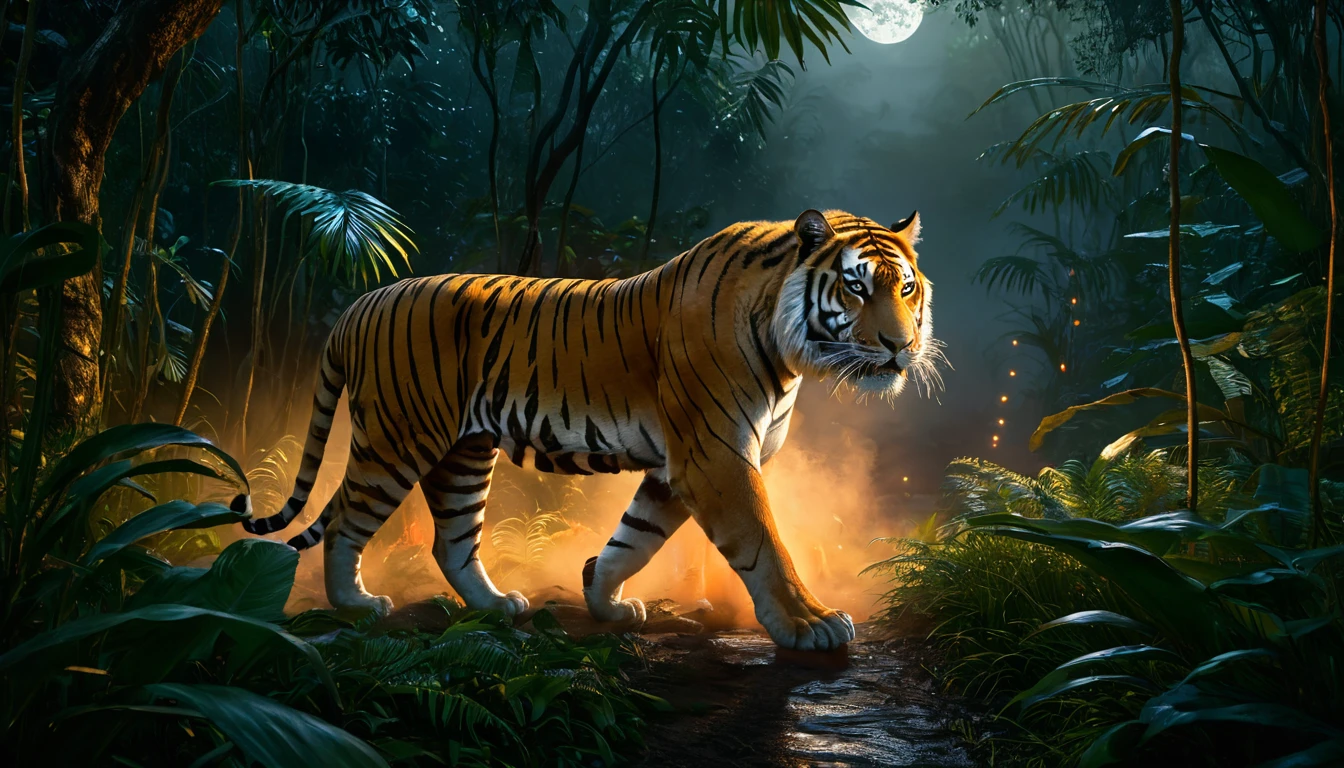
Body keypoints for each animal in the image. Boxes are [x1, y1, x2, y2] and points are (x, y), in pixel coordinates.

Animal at [236, 208, 938, 650]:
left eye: (906, 288)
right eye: (855, 288)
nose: (902, 347)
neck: (787, 348)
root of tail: (361, 302)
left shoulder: (674, 468)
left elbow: (636, 539)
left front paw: (604, 599)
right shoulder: (714, 456)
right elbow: (764, 544)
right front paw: (809, 624)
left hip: (464, 453)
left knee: (451, 541)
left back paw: (497, 606)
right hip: (397, 440)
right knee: (345, 523)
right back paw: (357, 606)